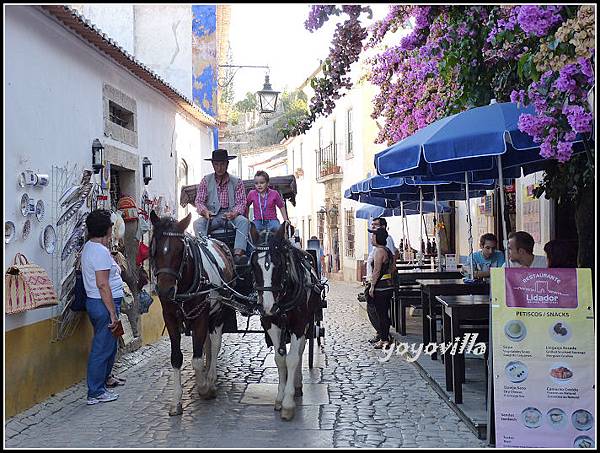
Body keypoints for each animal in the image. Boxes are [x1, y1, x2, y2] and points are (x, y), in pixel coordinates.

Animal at [149, 210, 236, 414]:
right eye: (154, 248)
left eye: (181, 250)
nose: (165, 291)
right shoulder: (170, 318)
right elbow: (176, 358)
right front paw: (176, 401)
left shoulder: (200, 316)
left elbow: (196, 359)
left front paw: (204, 387)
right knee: (208, 344)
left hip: (218, 312)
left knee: (215, 342)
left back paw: (210, 378)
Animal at [248, 222, 324, 420]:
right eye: (253, 265)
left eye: (280, 264)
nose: (268, 306)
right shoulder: (271, 323)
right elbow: (280, 359)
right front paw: (280, 397)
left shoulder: (300, 324)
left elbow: (292, 359)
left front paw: (288, 403)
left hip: (308, 323)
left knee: (300, 351)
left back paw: (297, 385)